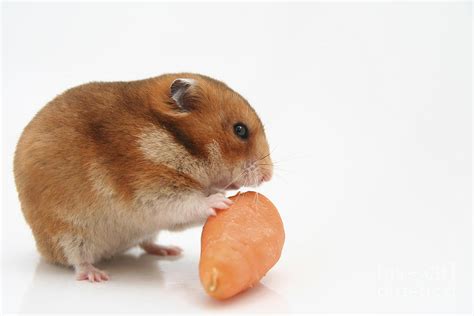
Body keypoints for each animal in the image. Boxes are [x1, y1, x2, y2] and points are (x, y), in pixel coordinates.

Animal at [12, 73, 272, 282]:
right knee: (77, 259)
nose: (268, 177)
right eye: (240, 130)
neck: (173, 140)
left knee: (147, 243)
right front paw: (220, 200)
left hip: (142, 231)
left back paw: (170, 251)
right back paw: (96, 276)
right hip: (68, 233)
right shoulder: (150, 190)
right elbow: (188, 202)